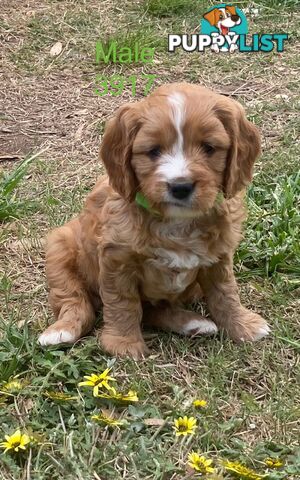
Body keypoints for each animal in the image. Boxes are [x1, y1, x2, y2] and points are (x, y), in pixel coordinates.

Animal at [38, 84, 270, 358]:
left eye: (209, 148)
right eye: (153, 151)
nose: (180, 187)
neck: (176, 222)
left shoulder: (219, 256)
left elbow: (225, 292)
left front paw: (242, 325)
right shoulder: (116, 260)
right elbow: (122, 303)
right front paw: (124, 345)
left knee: (154, 310)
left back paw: (193, 323)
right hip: (60, 249)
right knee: (74, 298)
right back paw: (61, 331)